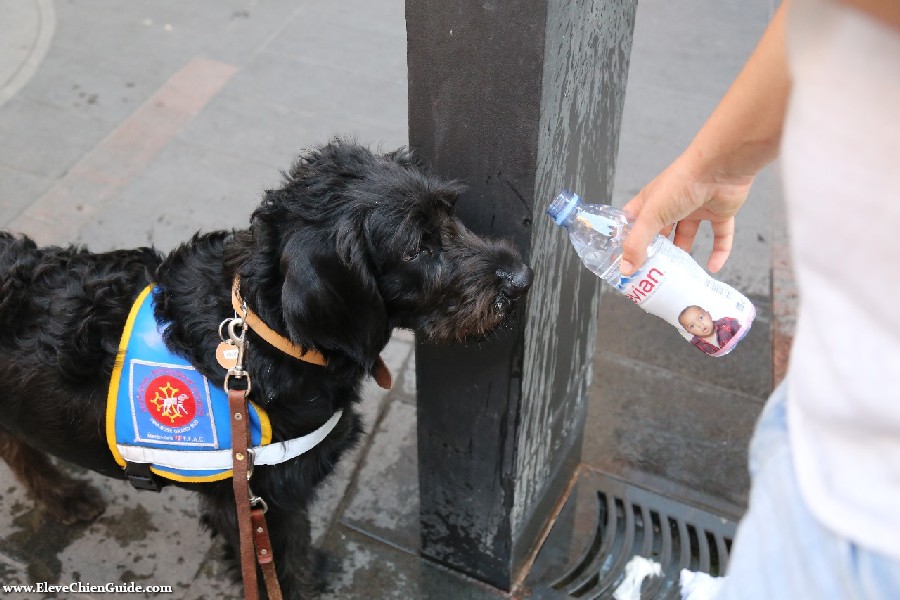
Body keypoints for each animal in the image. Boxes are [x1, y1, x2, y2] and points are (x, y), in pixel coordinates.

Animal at [0, 139, 536, 596]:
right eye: (414, 248)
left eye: (450, 212)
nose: (522, 278)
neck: (268, 333)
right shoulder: (251, 502)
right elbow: (276, 566)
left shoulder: (278, 498)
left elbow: (293, 551)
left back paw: (61, 496)